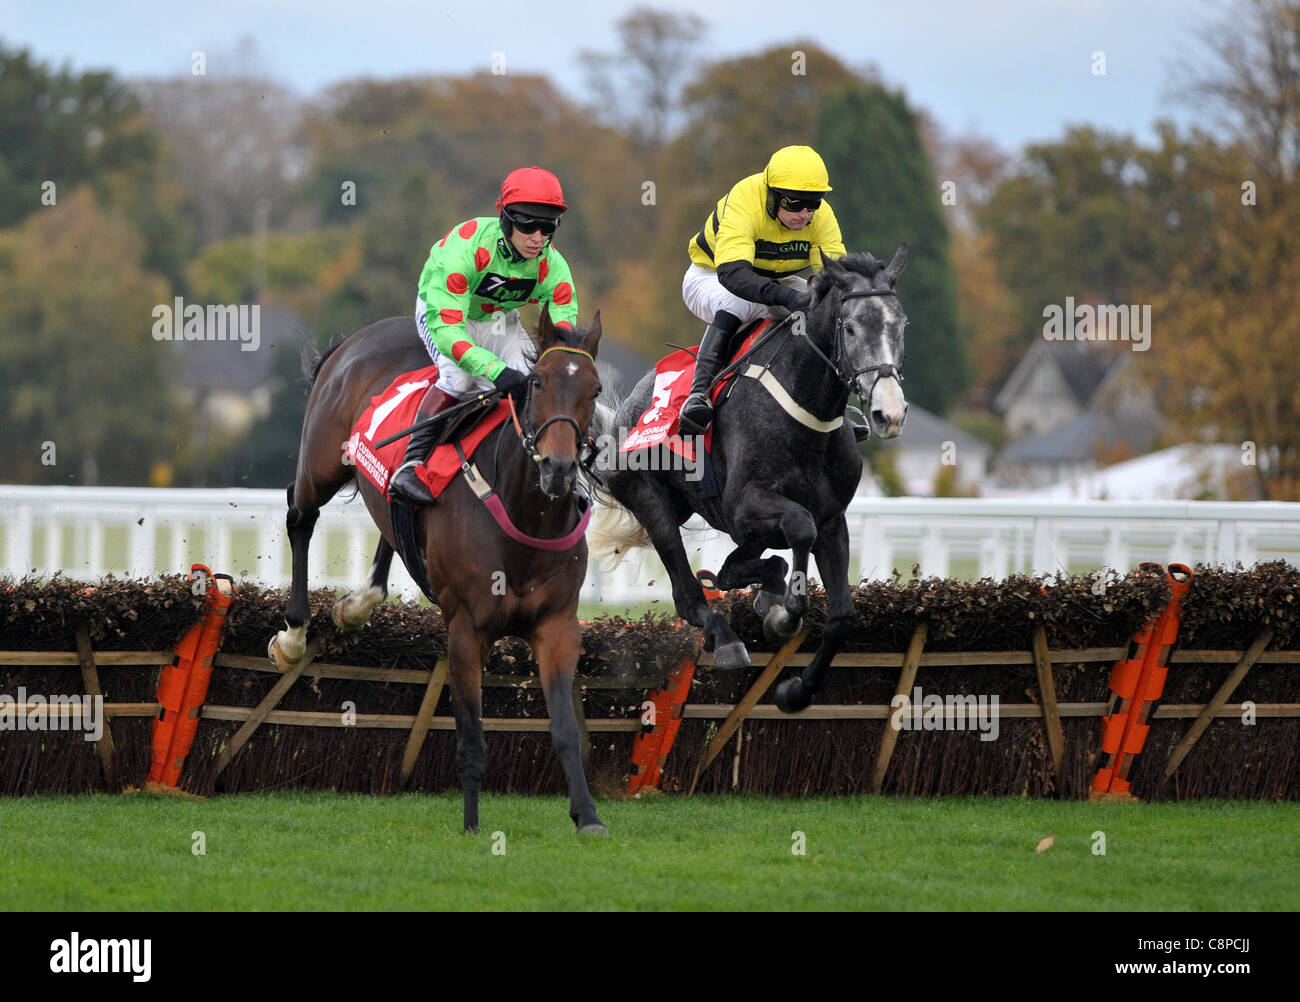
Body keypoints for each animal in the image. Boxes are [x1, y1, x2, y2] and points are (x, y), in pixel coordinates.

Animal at [274, 309, 608, 836]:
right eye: (537, 382)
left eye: (593, 390)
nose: (558, 468)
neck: (523, 515)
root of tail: (356, 338)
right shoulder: (465, 629)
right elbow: (471, 733)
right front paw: (471, 823)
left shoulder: (558, 627)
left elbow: (566, 729)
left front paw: (587, 816)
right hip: (322, 462)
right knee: (299, 513)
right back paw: (292, 633)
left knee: (390, 519)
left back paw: (358, 604)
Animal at [595, 249, 909, 712]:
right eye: (850, 327)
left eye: (900, 324)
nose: (890, 413)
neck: (806, 412)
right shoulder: (744, 507)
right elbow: (800, 525)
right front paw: (788, 611)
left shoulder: (833, 519)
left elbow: (842, 616)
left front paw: (797, 691)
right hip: (650, 500)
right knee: (687, 593)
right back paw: (727, 637)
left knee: (733, 569)